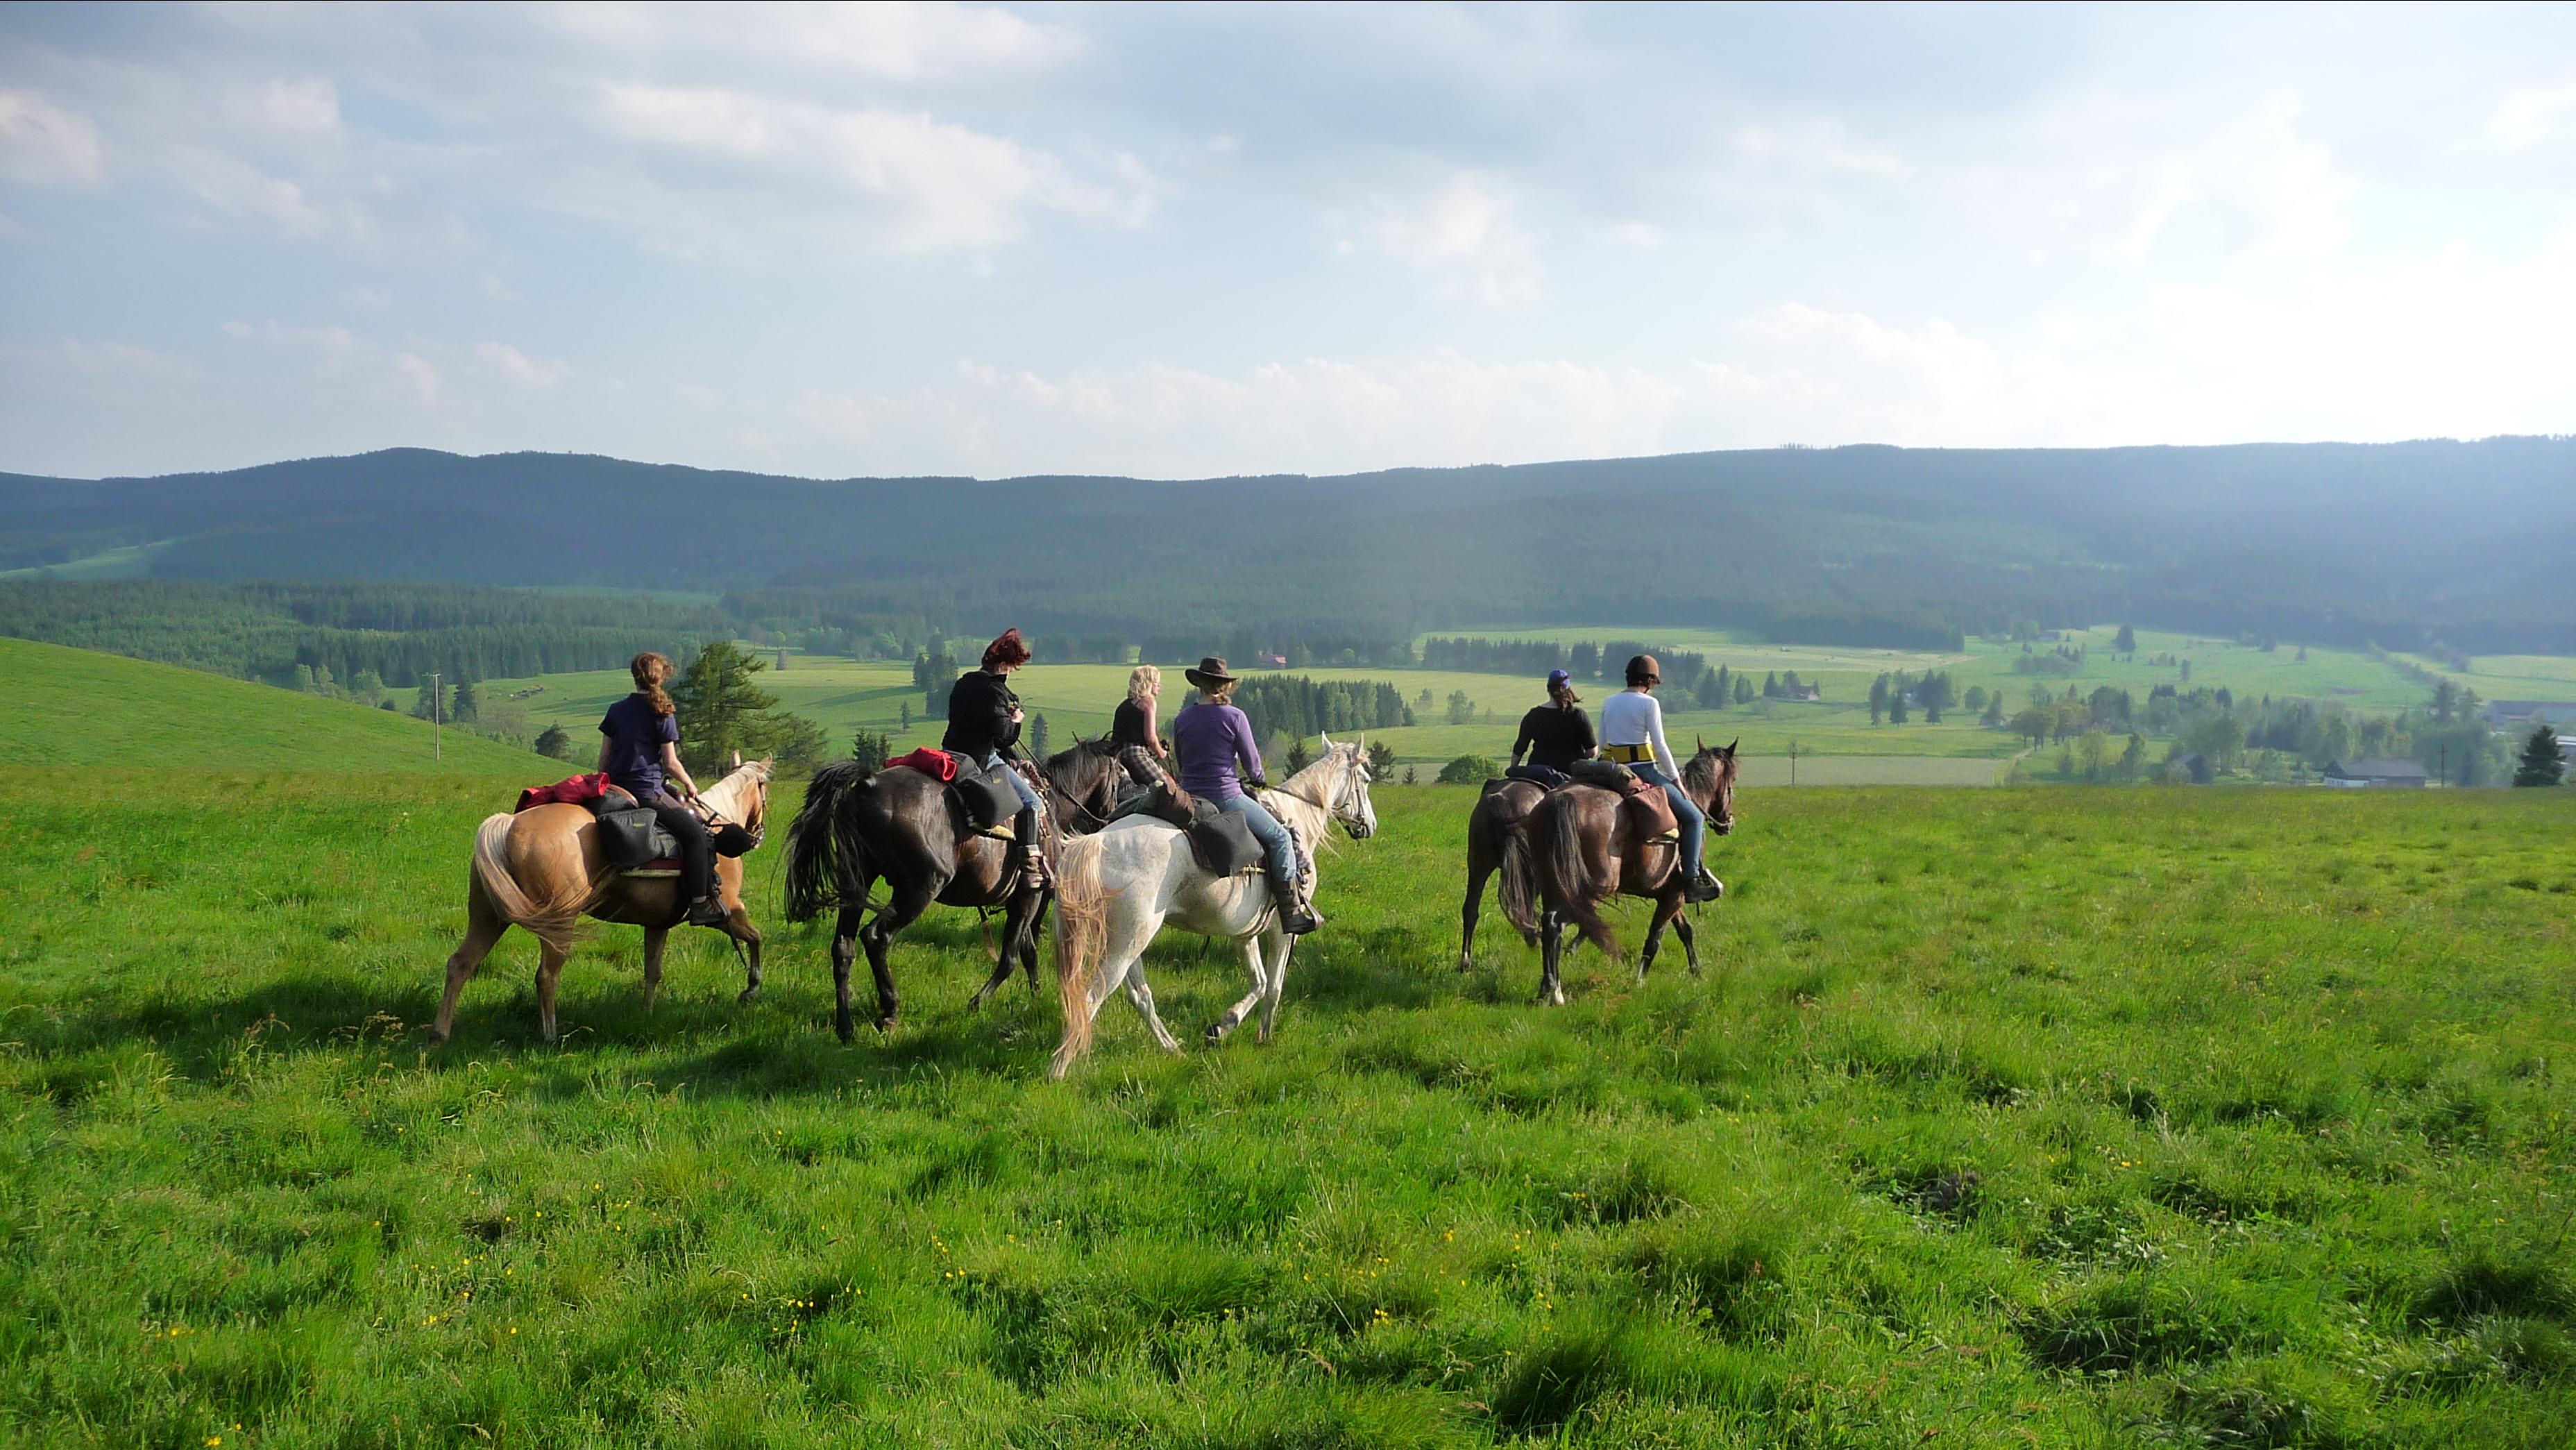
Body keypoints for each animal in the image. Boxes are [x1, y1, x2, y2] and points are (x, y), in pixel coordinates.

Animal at [432, 757, 768, 1050]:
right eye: (765, 791)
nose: (758, 836)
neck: (718, 832)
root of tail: (508, 825)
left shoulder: (657, 924)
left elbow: (653, 972)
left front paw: (646, 1014)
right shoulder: (727, 911)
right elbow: (755, 938)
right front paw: (751, 989)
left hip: (489, 917)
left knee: (461, 964)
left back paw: (440, 1034)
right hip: (558, 923)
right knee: (546, 976)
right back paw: (550, 1035)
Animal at [783, 741, 1128, 1040]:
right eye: (1121, 776)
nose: (1108, 817)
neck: (1051, 804)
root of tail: (868, 785)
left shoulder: (1020, 899)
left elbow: (1026, 952)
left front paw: (1036, 995)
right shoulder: (1032, 895)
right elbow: (1010, 956)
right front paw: (978, 1002)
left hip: (857, 882)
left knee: (843, 946)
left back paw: (846, 1026)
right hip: (919, 888)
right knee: (876, 937)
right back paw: (889, 1011)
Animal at [1046, 736, 1380, 1076]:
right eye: (1366, 780)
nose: (1370, 825)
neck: (1295, 814)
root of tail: (1095, 843)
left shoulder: (1244, 933)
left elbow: (1259, 982)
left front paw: (1222, 1027)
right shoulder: (1283, 930)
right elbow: (1274, 986)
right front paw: (1264, 1036)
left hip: (1125, 942)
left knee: (1139, 996)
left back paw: (1172, 1048)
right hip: (1125, 945)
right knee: (1091, 998)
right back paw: (1059, 1069)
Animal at [1514, 741, 1741, 1004]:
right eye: (1732, 781)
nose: (1728, 823)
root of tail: (1561, 799)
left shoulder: (1669, 893)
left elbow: (1685, 931)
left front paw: (1697, 972)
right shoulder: (1676, 894)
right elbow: (1655, 938)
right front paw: (1640, 980)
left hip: (1553, 883)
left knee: (1549, 922)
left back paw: (1545, 988)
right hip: (1591, 888)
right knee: (1557, 923)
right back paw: (1556, 992)